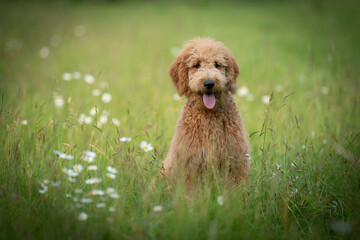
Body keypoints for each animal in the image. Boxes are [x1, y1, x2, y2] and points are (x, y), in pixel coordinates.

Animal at [161, 37, 249, 185]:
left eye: (217, 64)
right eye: (197, 65)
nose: (209, 83)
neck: (209, 115)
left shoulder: (236, 160)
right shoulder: (190, 162)